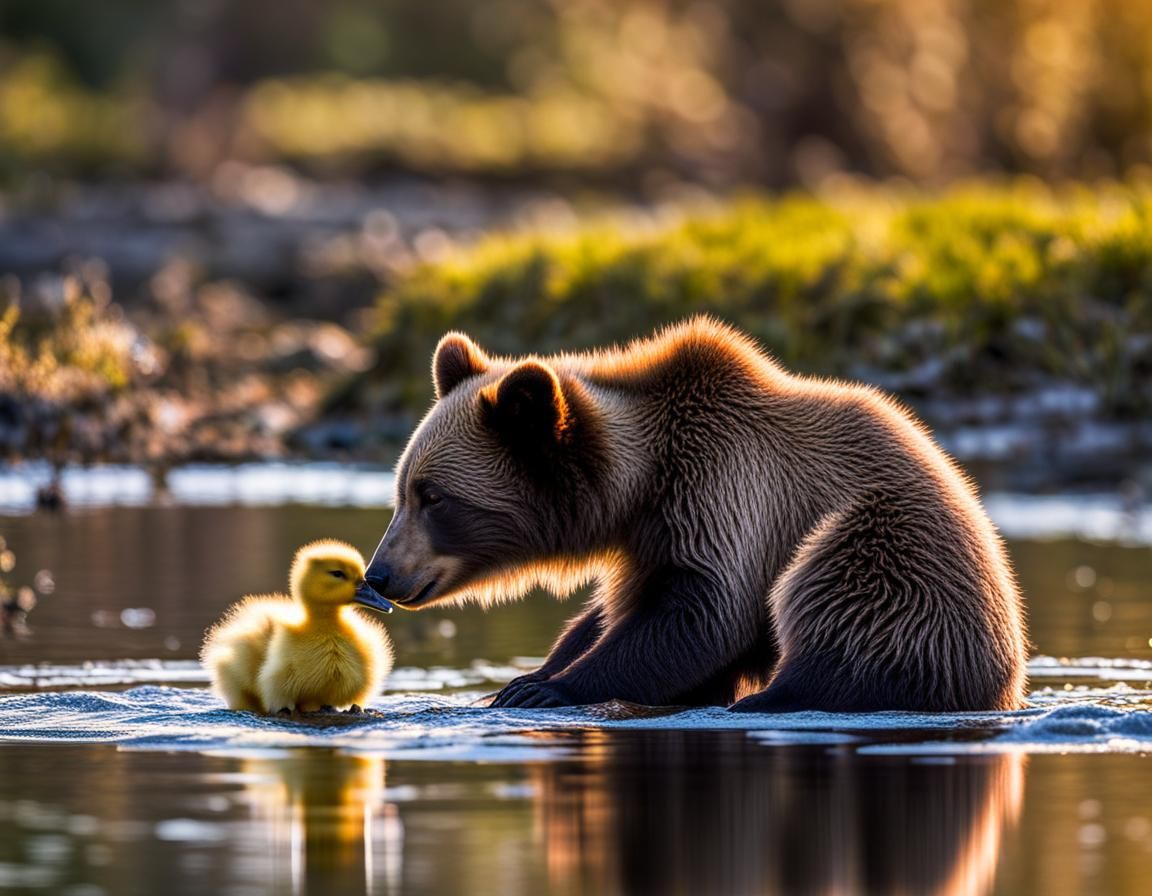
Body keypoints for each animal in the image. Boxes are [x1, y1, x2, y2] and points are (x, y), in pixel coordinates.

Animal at [364, 317, 1028, 712]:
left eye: (433, 497)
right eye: (401, 491)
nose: (380, 574)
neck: (644, 480)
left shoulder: (724, 491)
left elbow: (698, 613)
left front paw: (542, 687)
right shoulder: (648, 535)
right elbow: (616, 611)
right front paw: (530, 676)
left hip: (887, 551)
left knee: (844, 607)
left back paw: (767, 697)